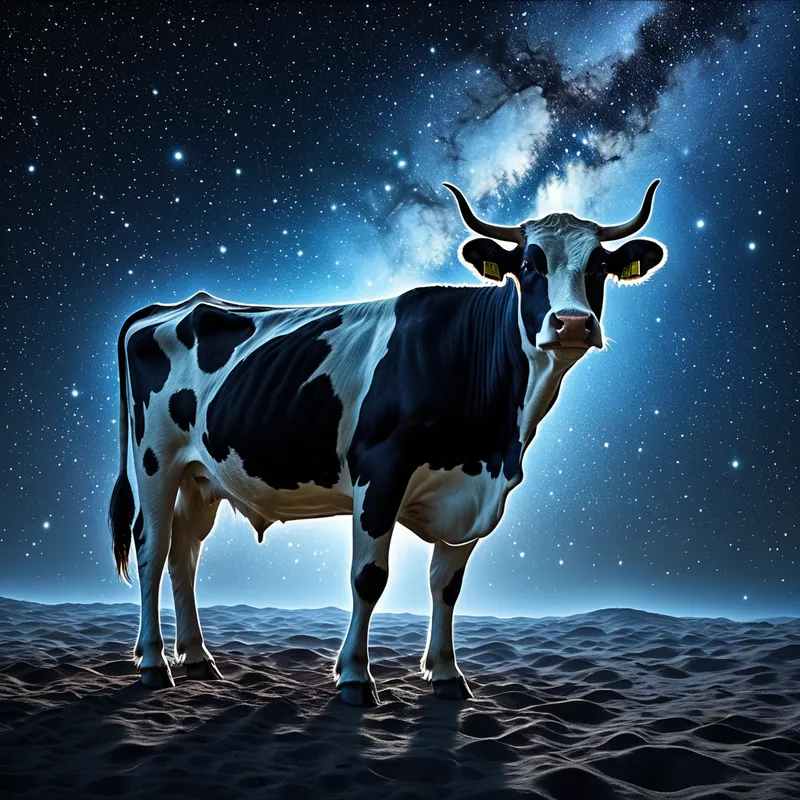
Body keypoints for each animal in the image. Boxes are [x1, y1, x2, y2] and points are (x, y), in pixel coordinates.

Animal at [109, 180, 667, 706]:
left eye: (600, 266)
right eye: (529, 265)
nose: (572, 323)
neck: (494, 441)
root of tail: (173, 306)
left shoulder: (469, 493)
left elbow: (447, 585)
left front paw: (447, 674)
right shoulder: (380, 473)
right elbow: (369, 577)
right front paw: (355, 678)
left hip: (201, 475)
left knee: (184, 553)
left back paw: (197, 659)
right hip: (155, 461)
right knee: (152, 546)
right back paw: (154, 663)